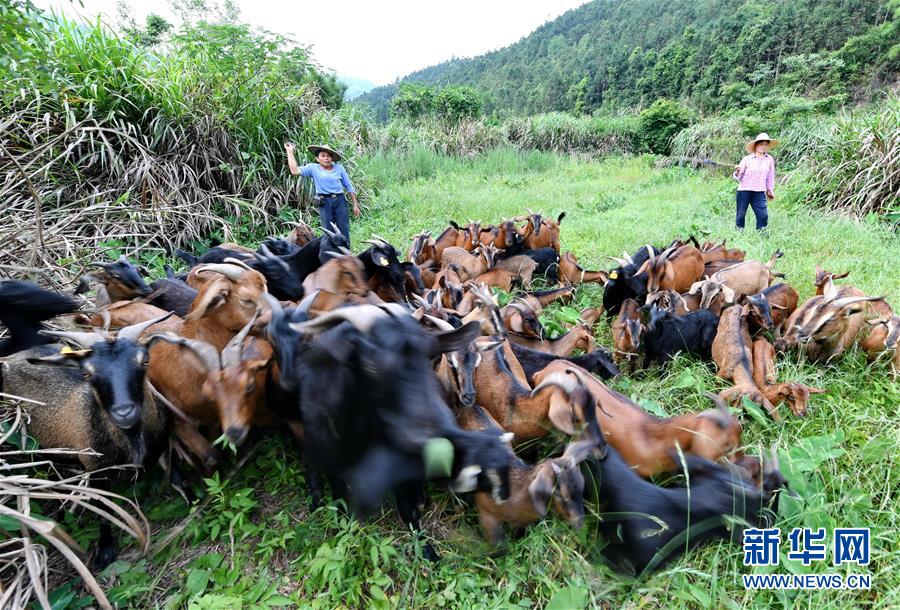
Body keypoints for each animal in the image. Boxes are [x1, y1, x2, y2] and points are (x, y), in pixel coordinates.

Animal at [1, 315, 172, 567]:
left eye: (145, 361)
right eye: (88, 374)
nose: (124, 412)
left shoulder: (163, 441)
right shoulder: (96, 470)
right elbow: (104, 508)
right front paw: (105, 551)